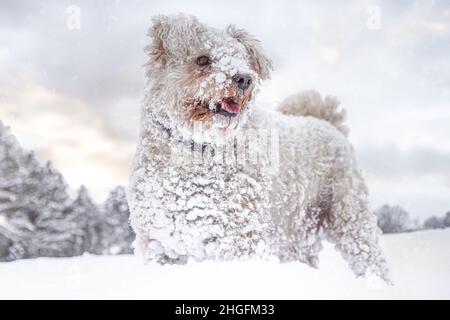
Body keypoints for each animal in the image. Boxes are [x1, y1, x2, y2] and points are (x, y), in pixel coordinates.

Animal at [128, 13, 388, 282]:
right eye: (202, 59)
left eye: (243, 60)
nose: (245, 78)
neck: (199, 147)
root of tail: (327, 122)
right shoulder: (159, 244)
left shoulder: (240, 237)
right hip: (296, 233)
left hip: (350, 215)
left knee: (371, 258)